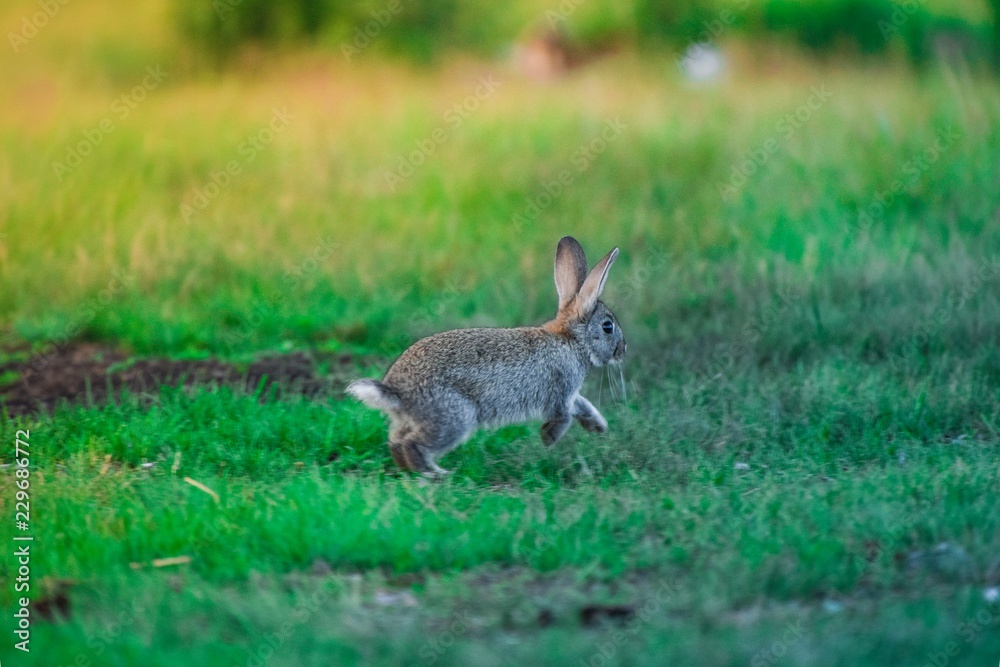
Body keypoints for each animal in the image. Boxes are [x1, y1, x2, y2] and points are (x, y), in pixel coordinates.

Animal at [346, 236, 626, 475]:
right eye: (607, 326)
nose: (623, 350)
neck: (571, 340)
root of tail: (396, 392)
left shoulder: (570, 395)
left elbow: (582, 404)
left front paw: (598, 426)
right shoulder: (561, 390)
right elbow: (564, 415)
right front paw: (548, 438)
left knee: (396, 440)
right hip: (455, 417)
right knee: (412, 444)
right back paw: (435, 475)